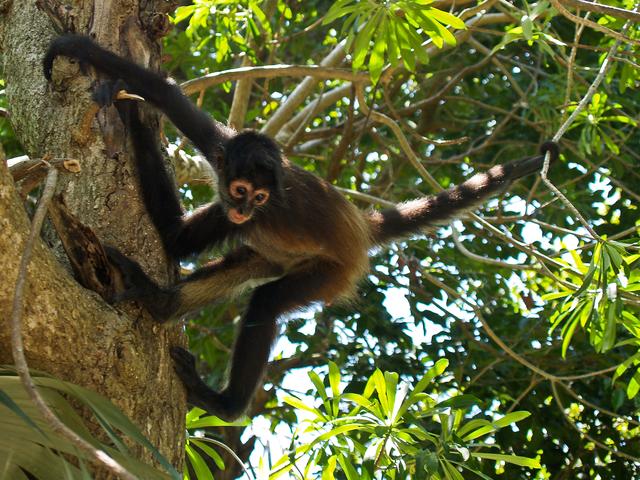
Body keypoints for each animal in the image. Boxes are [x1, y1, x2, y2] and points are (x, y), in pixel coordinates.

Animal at [42, 35, 556, 420]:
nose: (244, 211)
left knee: (266, 301)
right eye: (242, 189)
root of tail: (361, 228)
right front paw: (119, 92)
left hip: (330, 274)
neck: (266, 198)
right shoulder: (221, 147)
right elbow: (176, 231)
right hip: (270, 253)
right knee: (227, 261)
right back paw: (161, 303)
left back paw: (225, 405)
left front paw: (103, 75)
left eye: (261, 197)